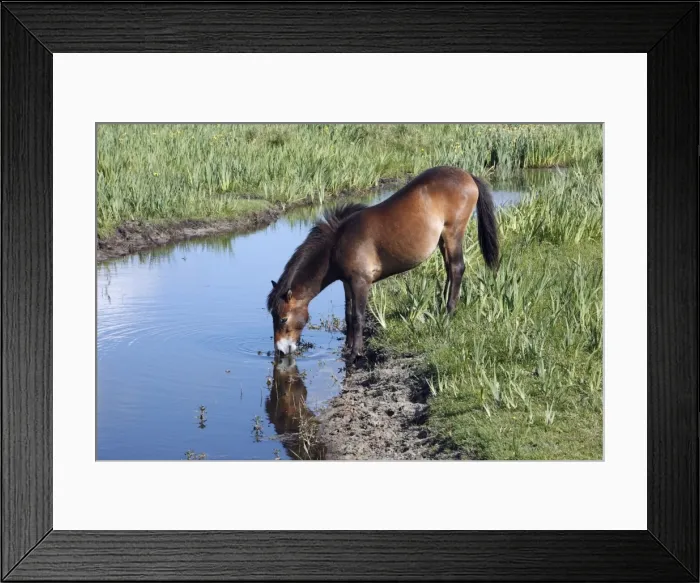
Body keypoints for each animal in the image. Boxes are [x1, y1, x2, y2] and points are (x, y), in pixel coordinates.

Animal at [267, 165, 499, 361]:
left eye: (282, 319)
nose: (280, 351)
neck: (337, 243)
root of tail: (467, 175)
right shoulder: (347, 283)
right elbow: (348, 314)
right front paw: (347, 347)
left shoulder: (361, 282)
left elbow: (358, 316)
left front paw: (355, 353)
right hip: (443, 239)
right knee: (450, 270)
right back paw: (442, 307)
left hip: (453, 234)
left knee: (457, 268)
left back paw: (449, 311)